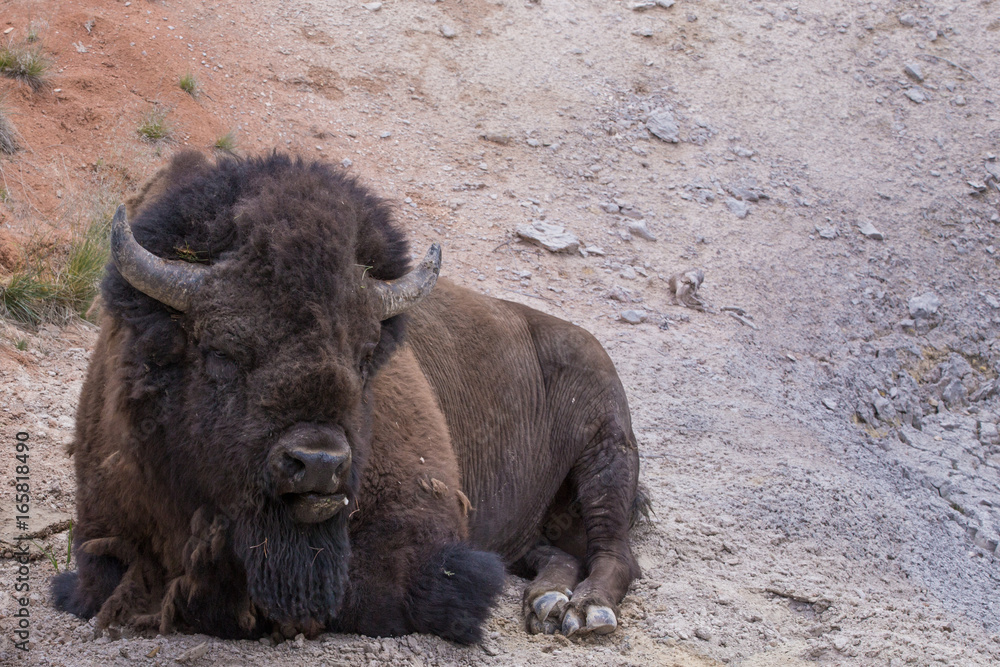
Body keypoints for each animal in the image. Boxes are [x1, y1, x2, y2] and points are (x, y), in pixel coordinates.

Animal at [53, 151, 645, 644]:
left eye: (364, 357)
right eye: (221, 351)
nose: (318, 463)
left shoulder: (425, 535)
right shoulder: (103, 532)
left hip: (607, 455)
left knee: (615, 551)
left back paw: (584, 612)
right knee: (557, 552)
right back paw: (547, 600)